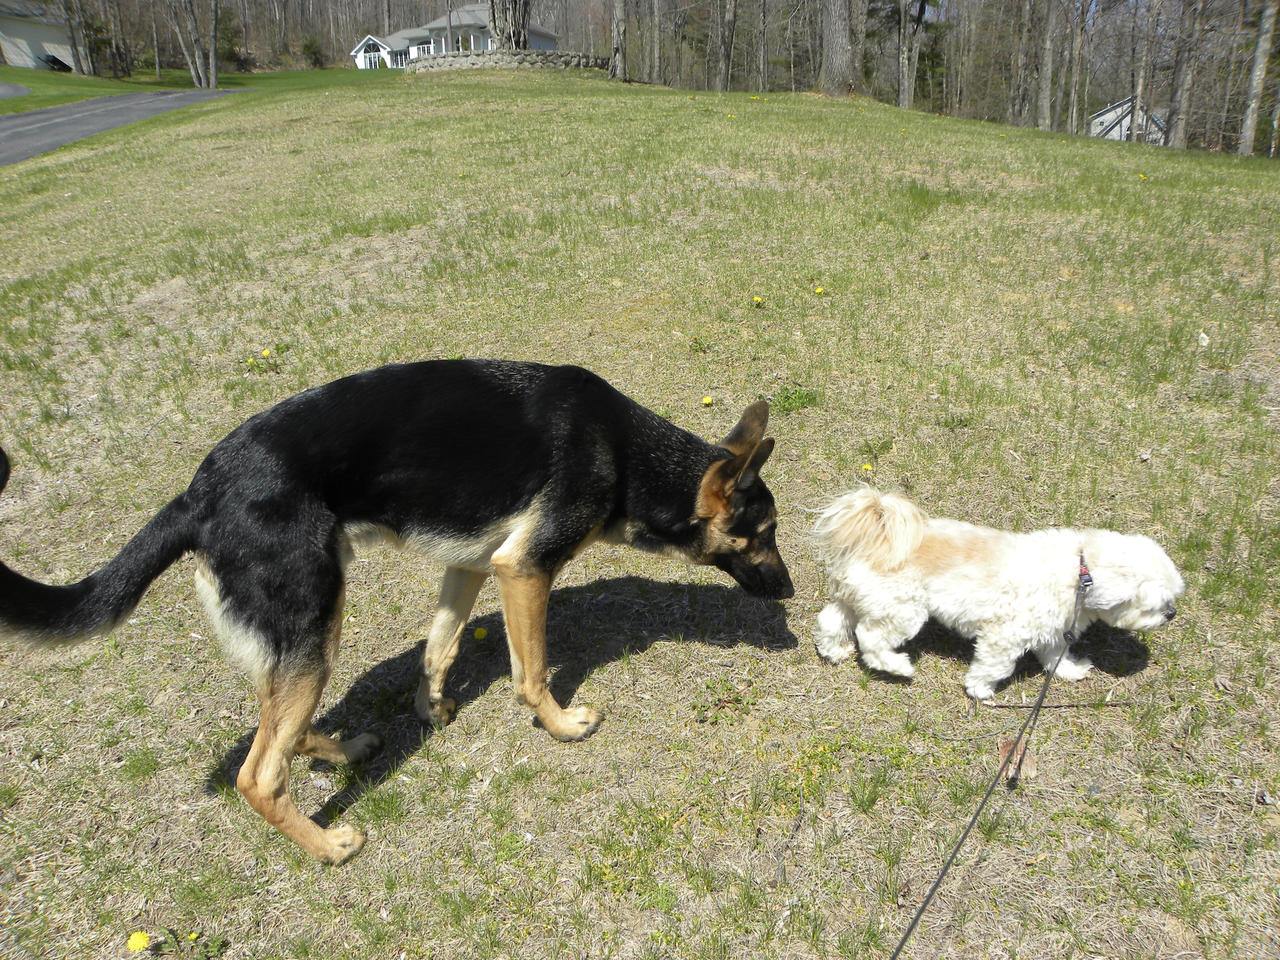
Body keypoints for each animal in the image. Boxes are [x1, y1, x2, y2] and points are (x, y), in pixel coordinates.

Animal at [814, 488, 1182, 701]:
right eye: (1153, 606)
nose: (1172, 614)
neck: (1079, 571)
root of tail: (878, 538)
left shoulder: (1052, 630)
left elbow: (1055, 655)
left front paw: (1069, 670)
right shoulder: (1005, 635)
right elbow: (996, 666)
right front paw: (980, 690)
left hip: (858, 599)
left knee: (832, 620)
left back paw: (835, 651)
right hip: (902, 611)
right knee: (870, 638)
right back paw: (899, 666)